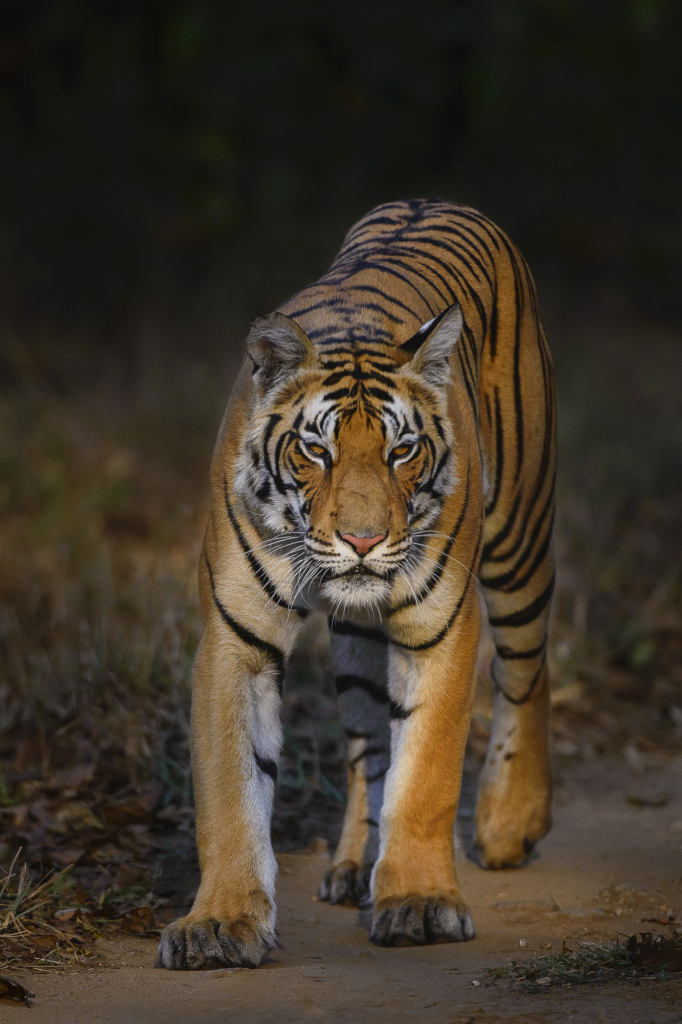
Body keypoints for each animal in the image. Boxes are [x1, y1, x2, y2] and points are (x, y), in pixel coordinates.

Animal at [156, 197, 557, 966]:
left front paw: (421, 902)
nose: (365, 541)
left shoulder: (440, 626)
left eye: (403, 450)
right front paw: (220, 922)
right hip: (357, 644)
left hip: (521, 529)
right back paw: (353, 865)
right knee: (370, 744)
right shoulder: (235, 639)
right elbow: (229, 793)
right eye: (317, 449)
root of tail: (440, 199)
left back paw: (508, 821)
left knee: (525, 668)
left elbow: (425, 774)